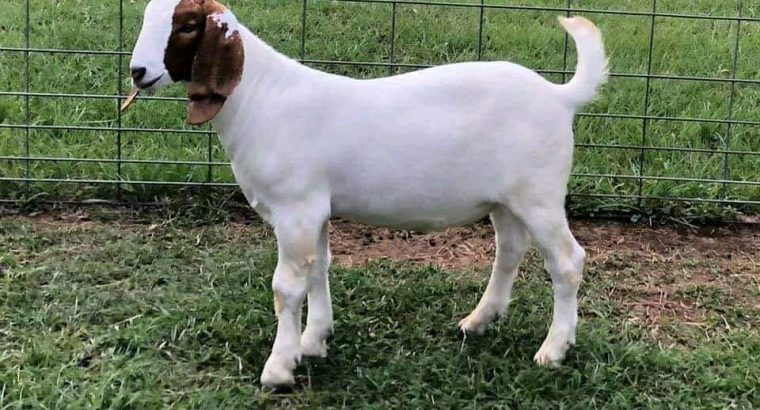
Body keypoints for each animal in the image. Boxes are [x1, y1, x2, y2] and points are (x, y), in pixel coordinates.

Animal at [128, 0, 607, 388]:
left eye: (187, 25)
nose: (138, 71)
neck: (261, 97)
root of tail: (560, 96)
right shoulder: (316, 209)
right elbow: (318, 269)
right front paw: (313, 341)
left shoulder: (296, 209)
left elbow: (287, 286)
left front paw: (279, 368)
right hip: (507, 200)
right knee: (510, 250)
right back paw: (479, 320)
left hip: (539, 193)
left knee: (567, 261)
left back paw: (554, 349)